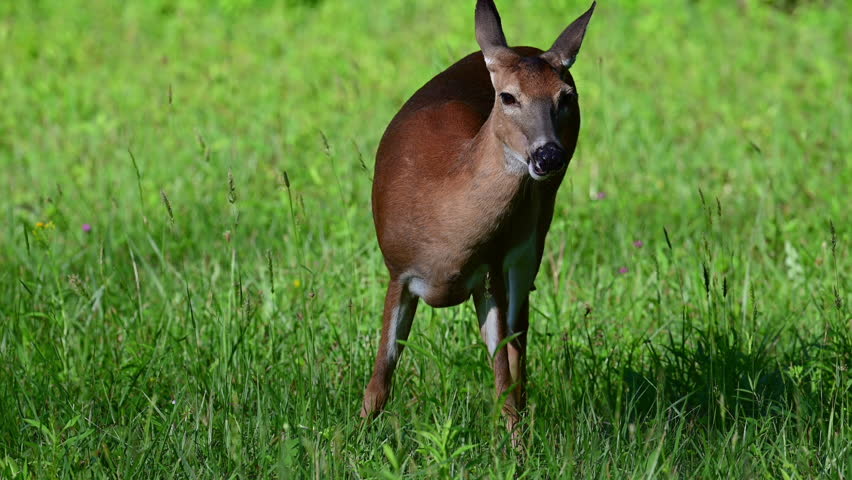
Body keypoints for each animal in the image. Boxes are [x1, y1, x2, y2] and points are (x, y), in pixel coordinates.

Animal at [361, 0, 596, 441]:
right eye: (507, 97)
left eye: (566, 96)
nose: (549, 156)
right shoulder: (398, 270)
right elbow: (380, 378)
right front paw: (355, 437)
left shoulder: (490, 271)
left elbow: (503, 378)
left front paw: (517, 448)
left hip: (533, 236)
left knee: (520, 335)